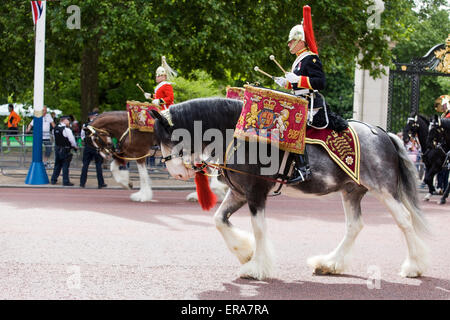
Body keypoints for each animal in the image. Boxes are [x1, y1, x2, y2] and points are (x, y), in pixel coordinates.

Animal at [150, 97, 428, 280]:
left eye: (170, 137)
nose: (175, 172)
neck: (240, 137)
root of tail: (384, 133)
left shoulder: (256, 193)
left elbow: (259, 229)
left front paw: (256, 268)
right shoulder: (239, 192)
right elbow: (219, 220)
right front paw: (245, 253)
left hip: (384, 190)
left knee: (404, 220)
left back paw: (414, 267)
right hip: (352, 191)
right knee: (354, 226)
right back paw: (330, 264)